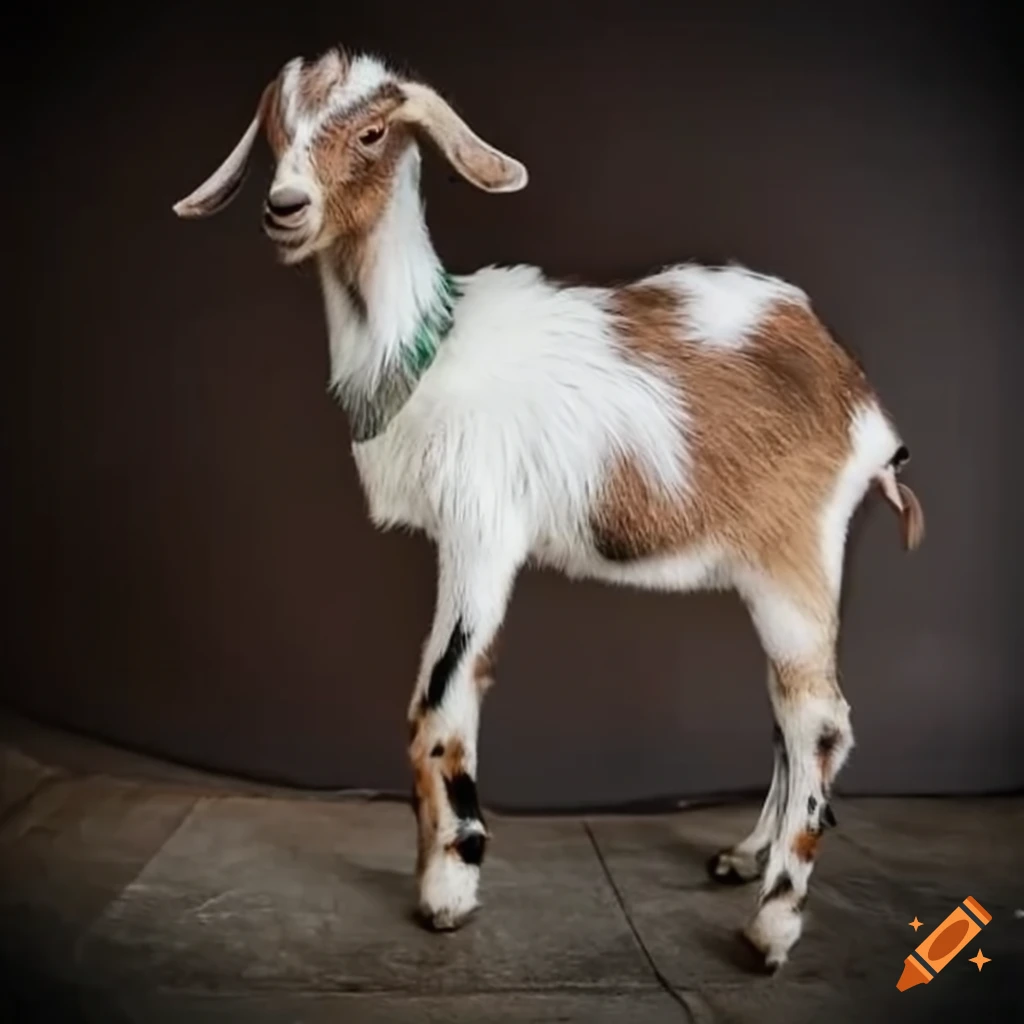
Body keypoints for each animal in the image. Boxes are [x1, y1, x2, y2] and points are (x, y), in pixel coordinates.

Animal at [173, 47, 924, 970]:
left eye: (375, 130)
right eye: (277, 128)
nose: (286, 207)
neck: (426, 346)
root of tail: (855, 390)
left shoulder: (483, 528)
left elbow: (439, 700)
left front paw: (451, 883)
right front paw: (437, 868)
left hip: (798, 555)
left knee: (819, 721)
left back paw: (771, 925)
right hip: (766, 568)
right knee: (787, 716)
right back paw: (744, 858)